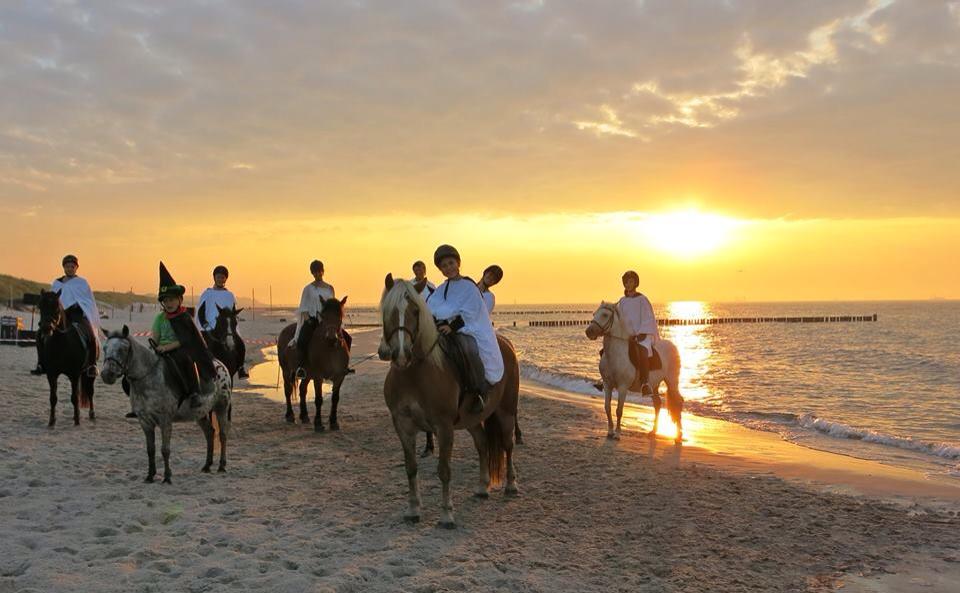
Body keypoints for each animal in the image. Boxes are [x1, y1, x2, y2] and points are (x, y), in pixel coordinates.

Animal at [36, 288, 96, 424]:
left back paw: (91, 413)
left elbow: (75, 398)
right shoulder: (51, 374)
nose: (46, 328)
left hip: (88, 371)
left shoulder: (74, 374)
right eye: (40, 306)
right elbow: (53, 398)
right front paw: (51, 420)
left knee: (90, 391)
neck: (61, 345)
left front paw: (77, 421)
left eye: (57, 307)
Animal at [100, 326, 232, 484]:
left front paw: (167, 477)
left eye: (122, 349)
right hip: (200, 413)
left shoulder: (165, 420)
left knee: (223, 434)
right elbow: (150, 450)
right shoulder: (145, 421)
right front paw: (150, 476)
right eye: (104, 348)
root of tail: (221, 364)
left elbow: (165, 449)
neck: (148, 378)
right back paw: (207, 465)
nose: (106, 375)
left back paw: (222, 466)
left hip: (221, 407)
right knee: (209, 432)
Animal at [276, 296, 350, 430]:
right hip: (286, 371)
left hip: (307, 375)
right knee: (288, 390)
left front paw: (333, 422)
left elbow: (335, 398)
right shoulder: (318, 376)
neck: (330, 349)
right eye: (323, 316)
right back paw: (290, 415)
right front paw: (318, 424)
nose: (331, 338)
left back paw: (304, 416)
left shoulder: (339, 376)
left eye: (340, 316)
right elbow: (319, 399)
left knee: (302, 390)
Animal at [378, 274, 520, 528]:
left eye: (415, 311)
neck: (414, 372)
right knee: (482, 443)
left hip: (506, 412)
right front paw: (413, 509)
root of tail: (507, 343)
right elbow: (410, 468)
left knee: (507, 444)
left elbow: (444, 470)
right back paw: (482, 487)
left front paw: (446, 514)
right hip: (472, 419)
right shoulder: (402, 425)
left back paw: (511, 484)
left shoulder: (443, 427)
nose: (401, 354)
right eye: (388, 310)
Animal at [580, 302, 688, 442]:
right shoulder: (608, 385)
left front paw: (617, 434)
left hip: (672, 381)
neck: (615, 355)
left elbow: (619, 410)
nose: (589, 332)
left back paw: (678, 435)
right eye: (594, 314)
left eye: (605, 315)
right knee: (657, 404)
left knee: (678, 401)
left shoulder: (622, 387)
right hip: (654, 384)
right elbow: (607, 407)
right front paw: (610, 431)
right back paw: (654, 431)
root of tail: (672, 346)